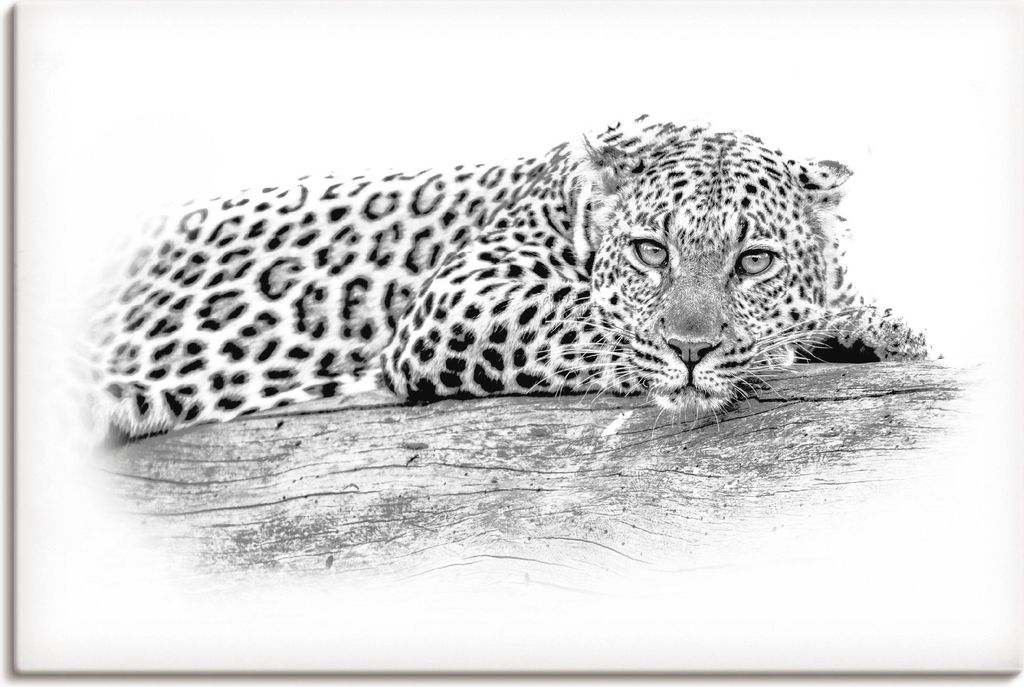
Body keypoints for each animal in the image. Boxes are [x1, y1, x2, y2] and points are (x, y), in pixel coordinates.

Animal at [82, 115, 929, 441]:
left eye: (753, 261)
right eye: (651, 252)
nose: (693, 350)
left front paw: (880, 329)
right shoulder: (460, 297)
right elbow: (591, 318)